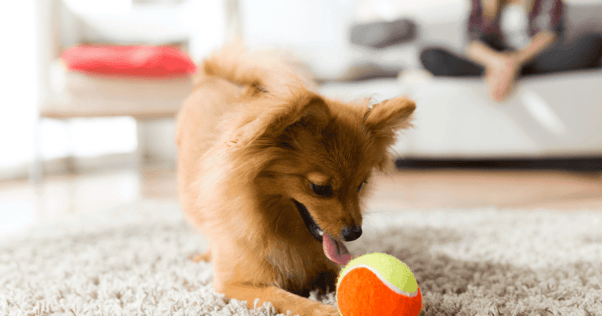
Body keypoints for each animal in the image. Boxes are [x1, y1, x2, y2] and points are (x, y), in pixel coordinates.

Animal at [176, 44, 414, 316]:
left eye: (360, 185)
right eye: (320, 188)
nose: (355, 233)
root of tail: (212, 75)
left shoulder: (324, 262)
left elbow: (341, 272)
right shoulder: (237, 285)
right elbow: (291, 300)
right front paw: (328, 310)